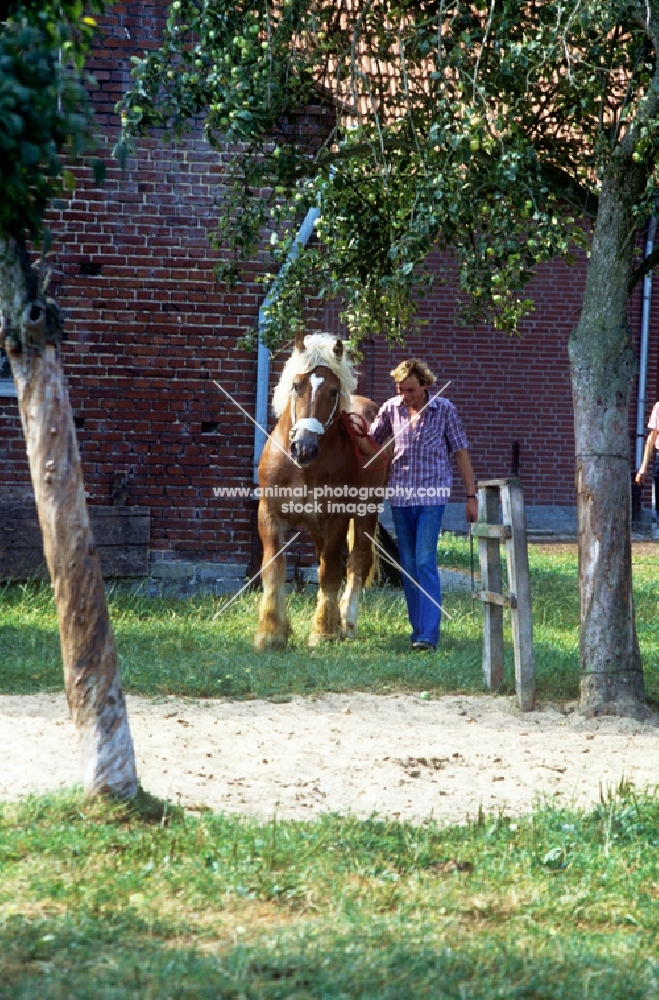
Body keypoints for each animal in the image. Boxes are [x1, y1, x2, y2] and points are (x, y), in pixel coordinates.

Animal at [255, 332, 392, 652]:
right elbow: (274, 568)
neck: (302, 468)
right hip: (316, 527)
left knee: (357, 562)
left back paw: (347, 623)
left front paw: (324, 631)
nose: (304, 447)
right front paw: (271, 633)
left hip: (366, 512)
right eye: (296, 385)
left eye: (332, 391)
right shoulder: (269, 515)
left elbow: (330, 572)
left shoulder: (336, 520)